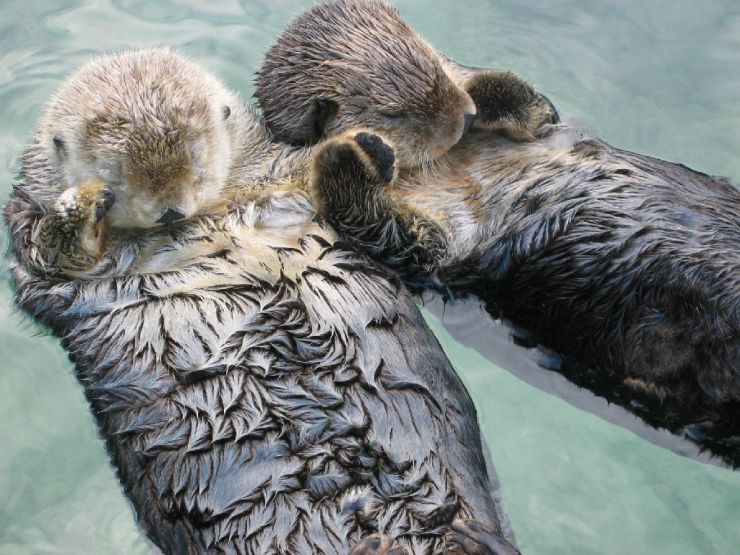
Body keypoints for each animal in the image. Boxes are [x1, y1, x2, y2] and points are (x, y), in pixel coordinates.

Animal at [8, 48, 524, 555]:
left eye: (197, 158)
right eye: (115, 175)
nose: (170, 210)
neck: (210, 216)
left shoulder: (278, 177)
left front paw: (366, 144)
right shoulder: (37, 255)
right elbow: (53, 253)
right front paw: (83, 201)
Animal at [256, 0, 740, 464]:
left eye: (433, 59)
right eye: (394, 113)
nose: (467, 118)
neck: (450, 162)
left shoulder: (548, 127)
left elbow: (538, 106)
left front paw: (483, 92)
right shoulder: (434, 249)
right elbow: (389, 231)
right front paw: (350, 151)